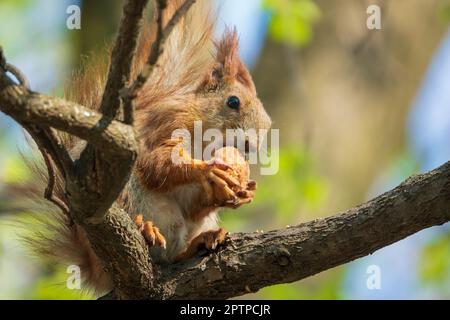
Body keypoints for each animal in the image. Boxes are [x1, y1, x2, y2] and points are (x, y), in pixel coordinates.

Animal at [25, 0, 270, 294]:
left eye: (268, 125)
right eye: (233, 102)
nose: (250, 146)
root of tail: (95, 270)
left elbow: (193, 202)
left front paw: (241, 192)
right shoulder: (166, 124)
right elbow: (156, 164)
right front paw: (206, 171)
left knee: (173, 254)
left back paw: (199, 242)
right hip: (123, 195)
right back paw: (144, 229)